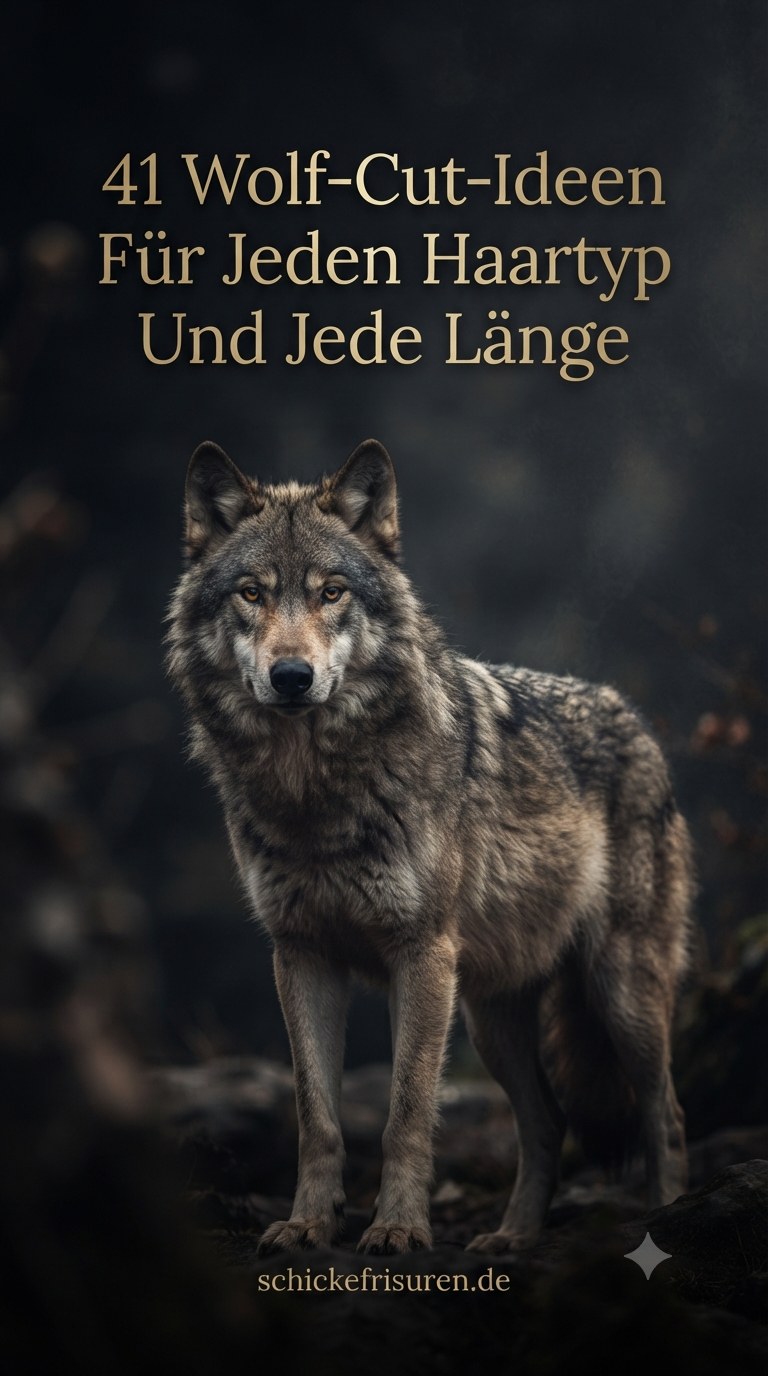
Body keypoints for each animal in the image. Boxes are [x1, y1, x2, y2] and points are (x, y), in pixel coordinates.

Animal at [166, 437, 693, 1256]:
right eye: (252, 594)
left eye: (331, 593)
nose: (292, 676)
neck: (315, 793)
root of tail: (635, 720)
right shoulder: (301, 954)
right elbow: (317, 1118)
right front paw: (307, 1224)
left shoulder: (420, 954)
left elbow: (406, 1113)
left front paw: (397, 1229)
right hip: (489, 1017)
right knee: (548, 1123)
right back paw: (512, 1237)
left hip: (620, 992)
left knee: (662, 1113)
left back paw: (664, 1219)